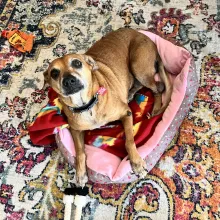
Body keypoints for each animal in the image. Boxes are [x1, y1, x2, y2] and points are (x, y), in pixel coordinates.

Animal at [43, 27, 172, 186]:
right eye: (54, 73)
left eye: (77, 63)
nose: (68, 80)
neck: (87, 106)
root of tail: (147, 38)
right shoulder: (75, 130)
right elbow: (80, 152)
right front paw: (80, 173)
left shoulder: (126, 113)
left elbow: (129, 141)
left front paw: (136, 163)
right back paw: (131, 94)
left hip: (138, 66)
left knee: (158, 88)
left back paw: (155, 108)